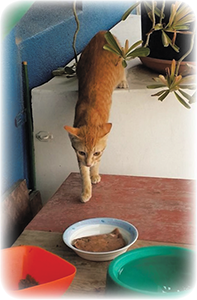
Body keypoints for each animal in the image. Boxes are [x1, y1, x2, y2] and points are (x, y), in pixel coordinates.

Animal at [63, 31, 127, 204]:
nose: (89, 163)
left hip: (122, 59)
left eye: (96, 153)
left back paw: (123, 82)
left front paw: (95, 173)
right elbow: (83, 173)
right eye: (82, 153)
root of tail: (101, 33)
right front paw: (86, 190)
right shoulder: (78, 157)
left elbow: (98, 163)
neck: (90, 115)